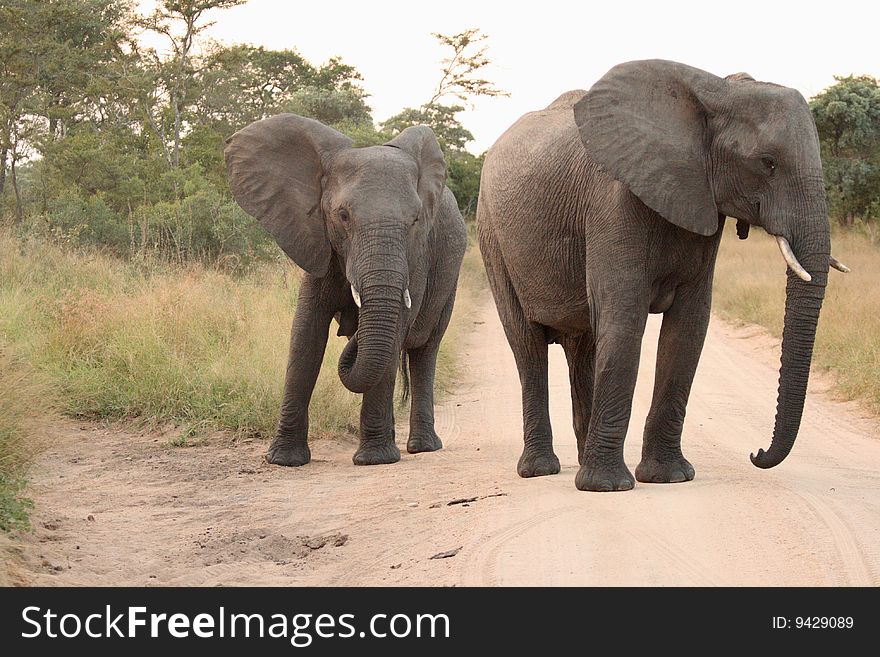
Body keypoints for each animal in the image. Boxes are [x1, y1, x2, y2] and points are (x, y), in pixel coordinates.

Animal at [225, 115, 468, 466]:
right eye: (342, 216)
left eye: (415, 220)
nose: (352, 323)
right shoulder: (317, 242)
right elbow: (306, 334)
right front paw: (283, 460)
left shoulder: (417, 257)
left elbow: (397, 328)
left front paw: (374, 460)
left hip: (450, 276)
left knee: (424, 350)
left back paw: (421, 447)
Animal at [478, 60, 848, 492]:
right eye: (767, 162)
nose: (756, 454)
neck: (716, 93)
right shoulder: (613, 202)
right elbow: (624, 322)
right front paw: (608, 487)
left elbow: (687, 330)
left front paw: (668, 478)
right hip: (491, 236)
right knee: (527, 345)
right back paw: (541, 469)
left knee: (582, 348)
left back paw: (581, 460)